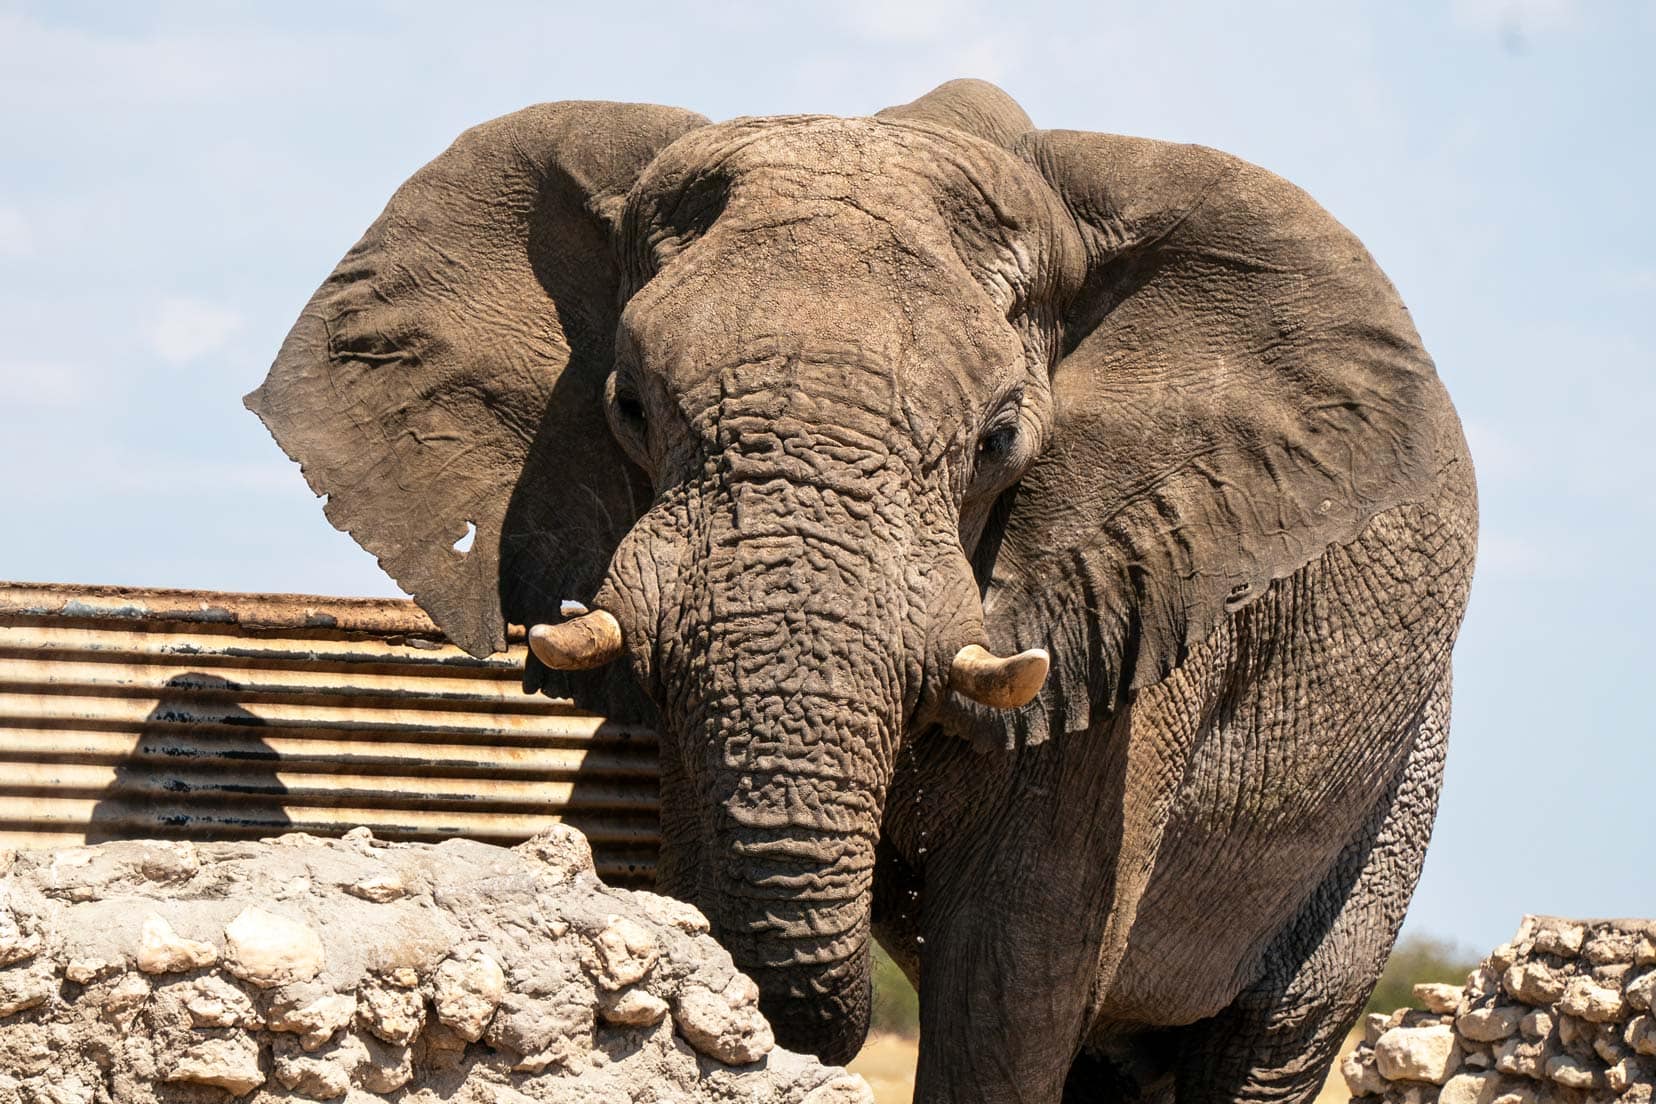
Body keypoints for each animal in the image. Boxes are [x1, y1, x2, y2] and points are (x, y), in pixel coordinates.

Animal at [251, 79, 1483, 1104]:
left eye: (1000, 440)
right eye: (628, 408)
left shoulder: (1131, 597)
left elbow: (1015, 972)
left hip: (1397, 783)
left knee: (1269, 1041)